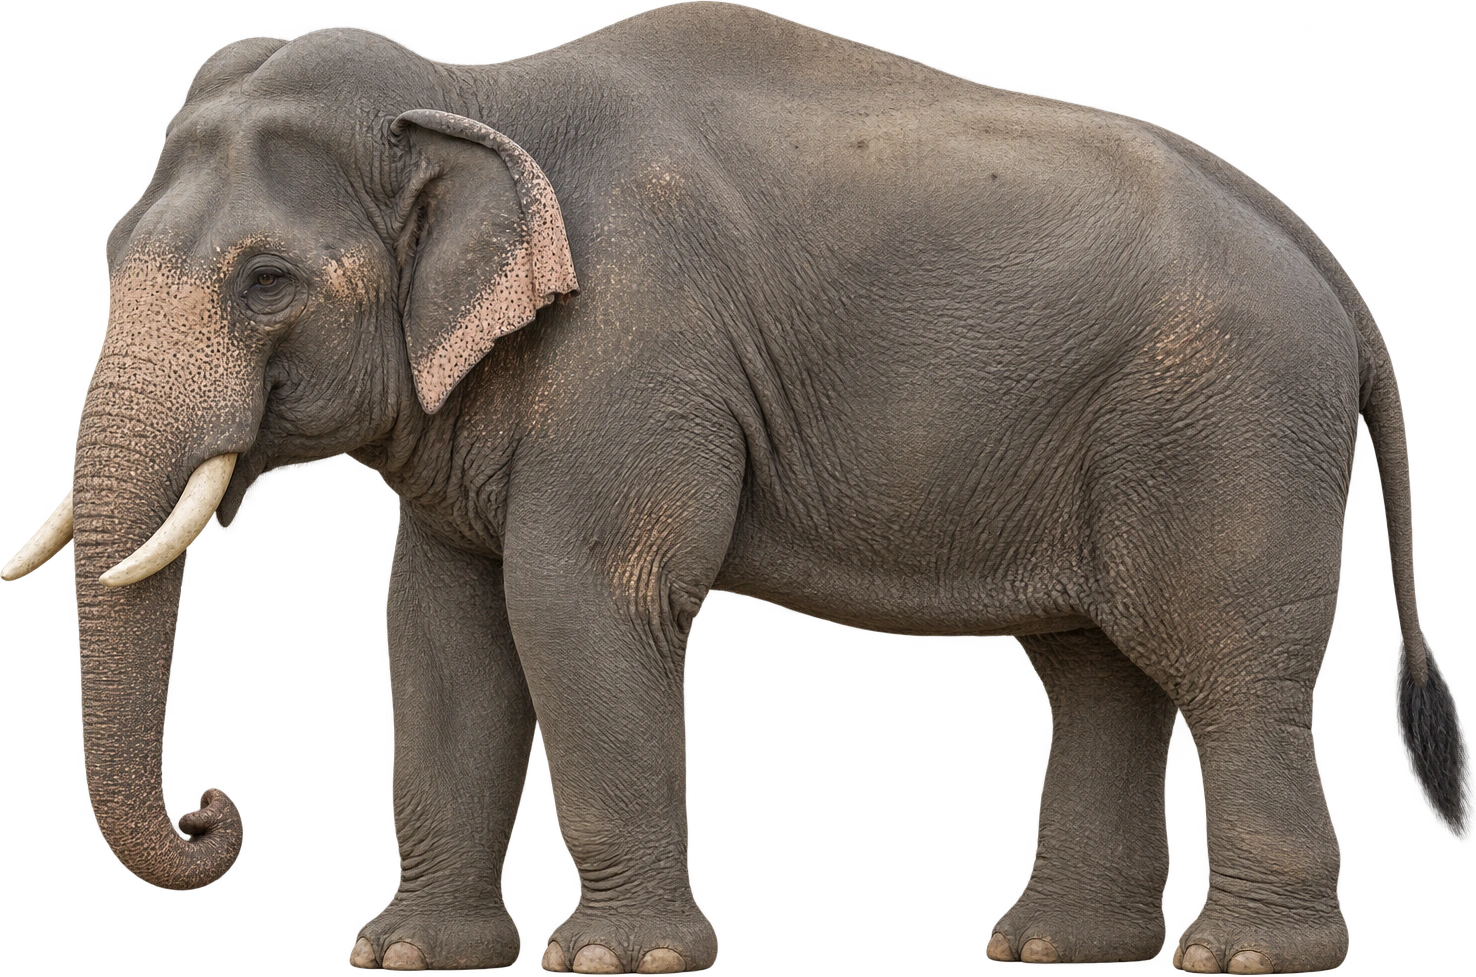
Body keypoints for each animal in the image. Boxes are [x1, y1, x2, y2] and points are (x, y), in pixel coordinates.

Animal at [1, 3, 1464, 974]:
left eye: (265, 283)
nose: (211, 810)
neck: (471, 79)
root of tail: (1318, 255)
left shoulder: (642, 333)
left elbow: (577, 594)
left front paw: (607, 961)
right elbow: (438, 629)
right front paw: (405, 955)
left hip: (1226, 410)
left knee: (1218, 651)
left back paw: (1240, 957)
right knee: (1092, 659)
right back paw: (1051, 945)